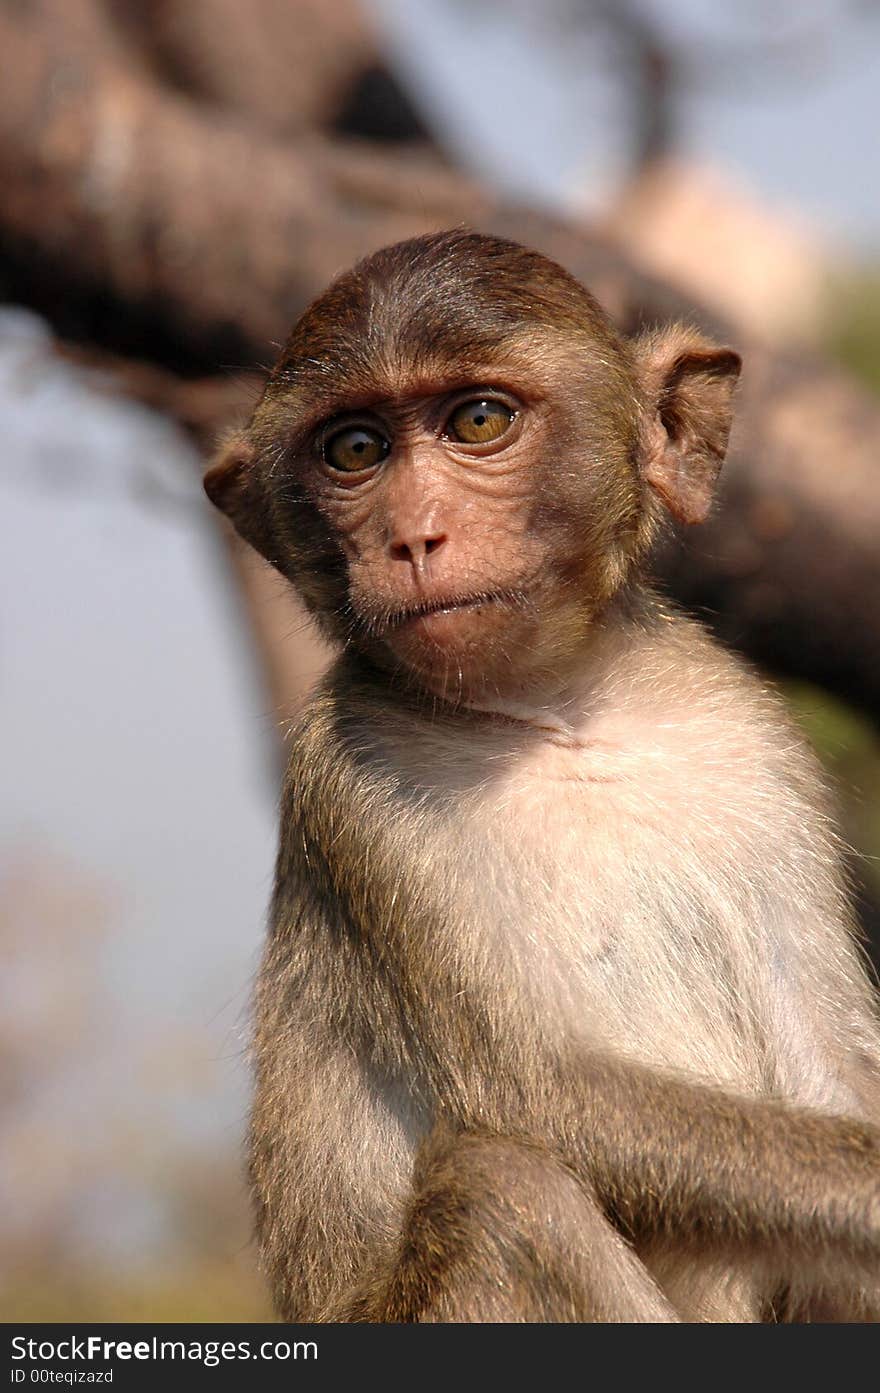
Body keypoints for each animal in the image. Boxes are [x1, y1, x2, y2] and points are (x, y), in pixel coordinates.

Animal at [206, 231, 880, 1326]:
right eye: (354, 450)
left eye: (479, 420)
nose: (413, 534)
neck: (562, 717)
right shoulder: (352, 779)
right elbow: (540, 1096)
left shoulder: (754, 740)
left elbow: (825, 1070)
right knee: (503, 1190)